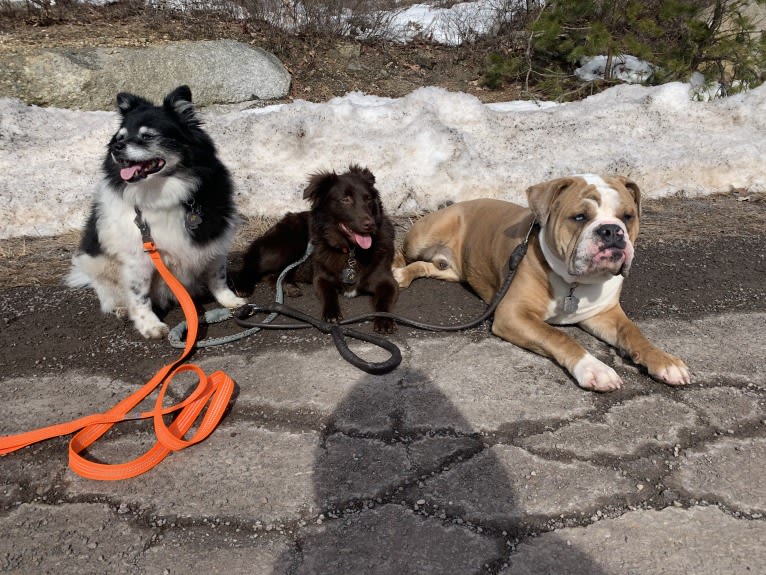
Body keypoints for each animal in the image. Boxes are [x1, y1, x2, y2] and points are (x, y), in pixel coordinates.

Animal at [67, 83, 246, 340]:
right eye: (120, 138)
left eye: (148, 136)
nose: (116, 148)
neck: (163, 193)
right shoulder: (137, 258)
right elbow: (139, 296)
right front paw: (149, 325)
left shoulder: (215, 240)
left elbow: (218, 276)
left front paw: (230, 301)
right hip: (98, 264)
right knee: (109, 295)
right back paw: (122, 309)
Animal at [237, 164, 400, 332]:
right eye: (345, 199)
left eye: (368, 199)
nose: (370, 225)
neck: (351, 251)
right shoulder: (321, 278)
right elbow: (329, 294)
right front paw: (331, 314)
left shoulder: (387, 281)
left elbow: (383, 302)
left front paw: (384, 320)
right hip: (286, 248)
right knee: (252, 266)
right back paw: (244, 285)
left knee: (273, 275)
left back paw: (289, 286)